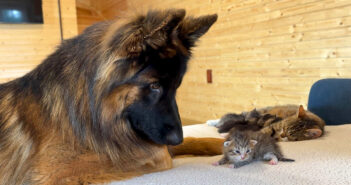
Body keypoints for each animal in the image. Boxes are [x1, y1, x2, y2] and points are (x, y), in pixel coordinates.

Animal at [0, 9, 224, 185]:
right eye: (154, 86)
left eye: (176, 86)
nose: (177, 139)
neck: (90, 108)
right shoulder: (54, 171)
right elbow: (160, 154)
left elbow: (192, 139)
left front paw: (221, 143)